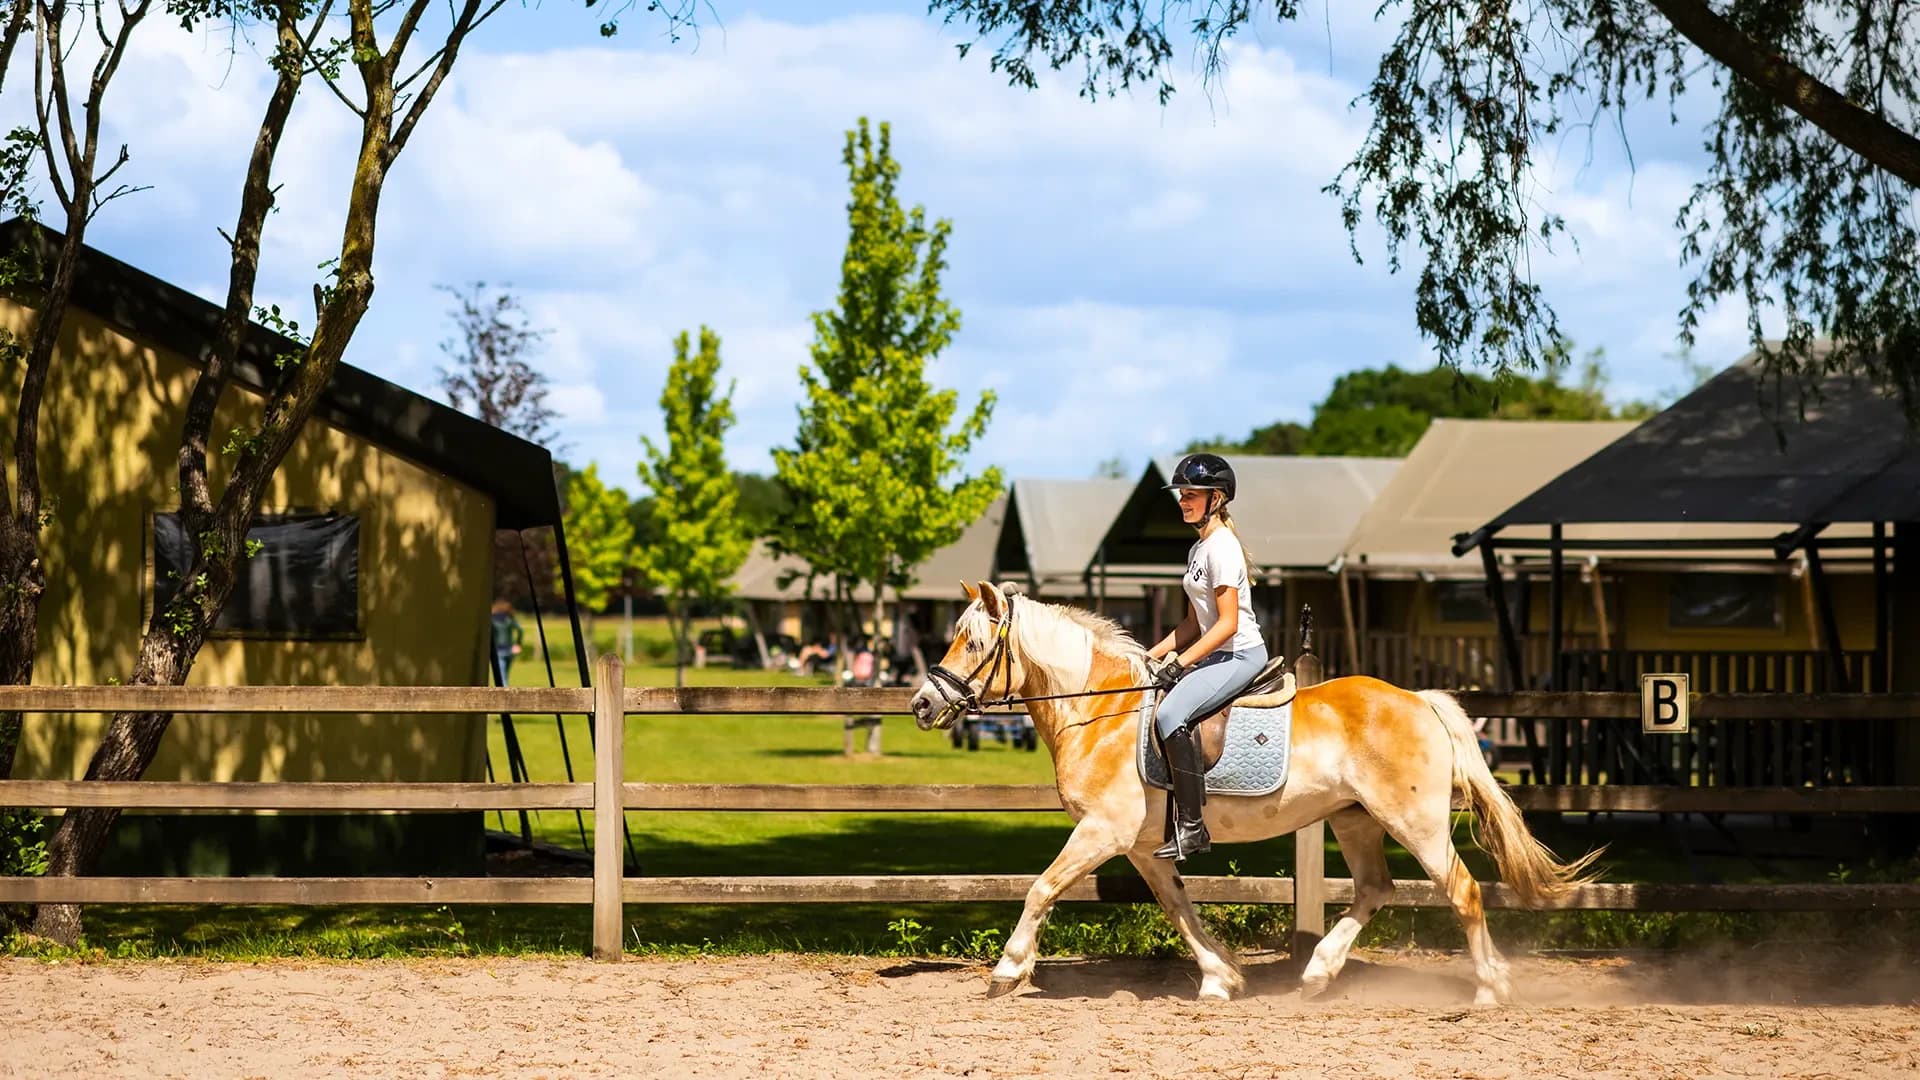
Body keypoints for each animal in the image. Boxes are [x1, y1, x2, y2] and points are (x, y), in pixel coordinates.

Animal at [907, 581, 1602, 1005]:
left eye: (973, 643)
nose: (921, 705)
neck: (1101, 712)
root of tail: (1419, 699)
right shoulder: (1139, 846)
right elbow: (1179, 908)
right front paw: (1221, 978)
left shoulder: (1102, 831)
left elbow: (1041, 888)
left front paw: (1007, 970)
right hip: (1354, 819)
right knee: (1374, 889)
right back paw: (1318, 974)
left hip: (1415, 821)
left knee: (1462, 890)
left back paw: (1487, 989)